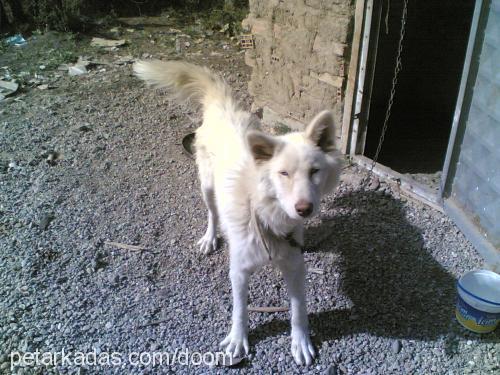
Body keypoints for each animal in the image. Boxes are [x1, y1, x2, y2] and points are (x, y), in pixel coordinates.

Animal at [135, 60, 342, 366]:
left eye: (314, 171)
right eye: (283, 173)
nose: (304, 209)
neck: (267, 215)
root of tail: (223, 105)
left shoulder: (295, 266)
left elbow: (298, 309)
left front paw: (301, 342)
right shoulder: (239, 270)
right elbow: (240, 309)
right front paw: (237, 340)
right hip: (207, 187)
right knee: (212, 214)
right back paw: (210, 238)